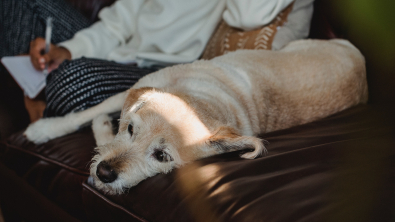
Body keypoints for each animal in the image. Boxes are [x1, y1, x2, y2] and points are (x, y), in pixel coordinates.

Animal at [24, 39, 368, 193]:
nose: (105, 172)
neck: (195, 100)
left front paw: (101, 135)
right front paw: (44, 129)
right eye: (130, 129)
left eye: (162, 156)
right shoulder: (129, 92)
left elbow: (98, 128)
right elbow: (88, 112)